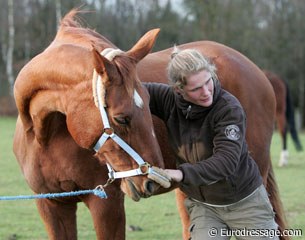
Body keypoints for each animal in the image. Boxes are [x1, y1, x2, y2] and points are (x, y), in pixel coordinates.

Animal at [12, 9, 288, 240]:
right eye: (121, 118)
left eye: (148, 102)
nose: (150, 181)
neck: (47, 135)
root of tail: (257, 72)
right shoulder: (51, 205)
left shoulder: (106, 203)